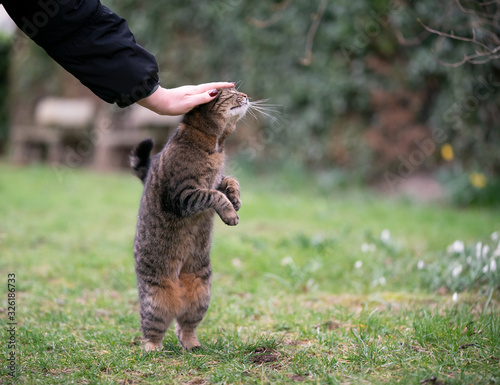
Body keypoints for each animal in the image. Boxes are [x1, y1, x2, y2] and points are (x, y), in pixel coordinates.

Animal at [130, 87, 249, 352]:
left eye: (236, 89)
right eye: (230, 92)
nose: (246, 95)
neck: (216, 145)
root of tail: (179, 290)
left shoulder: (217, 179)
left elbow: (231, 179)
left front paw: (236, 199)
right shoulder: (181, 195)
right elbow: (214, 195)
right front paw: (230, 213)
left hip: (201, 295)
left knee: (184, 327)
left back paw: (193, 344)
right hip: (156, 300)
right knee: (152, 328)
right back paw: (152, 348)